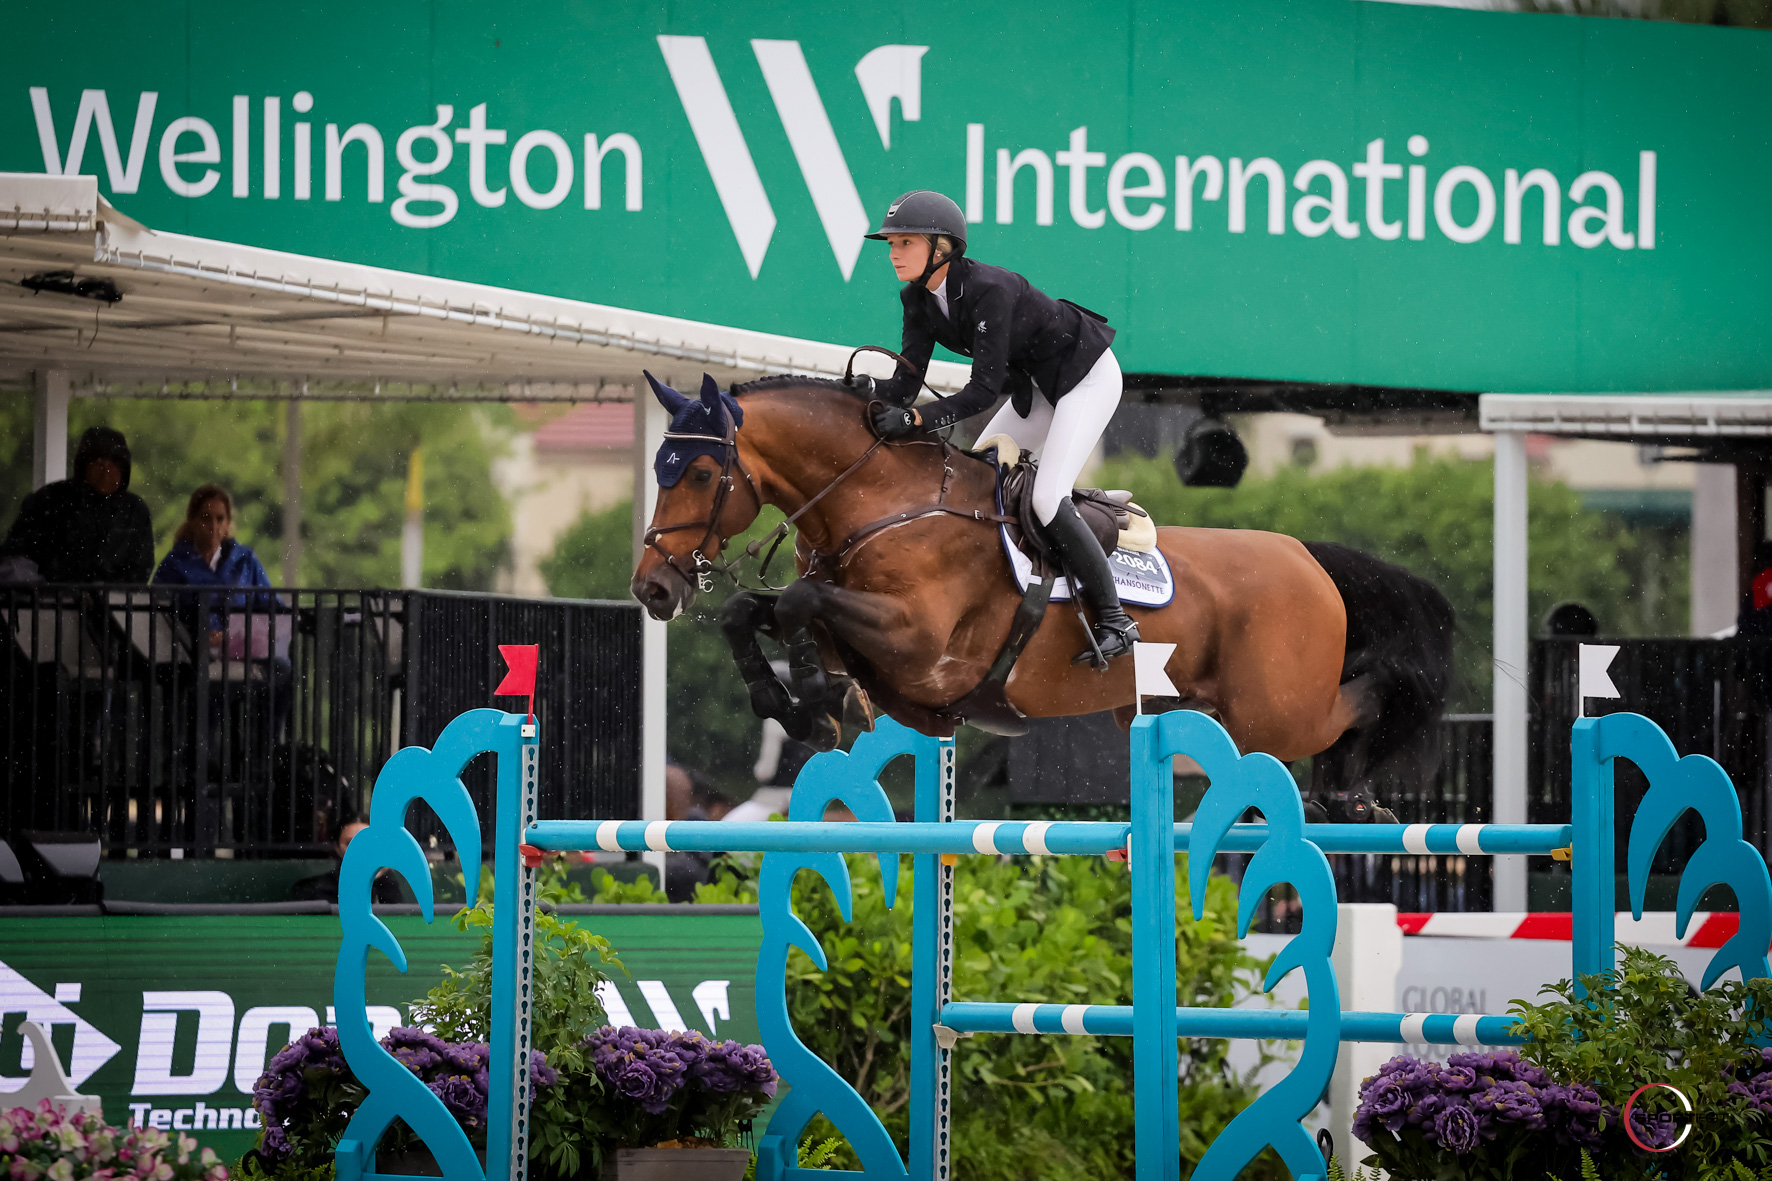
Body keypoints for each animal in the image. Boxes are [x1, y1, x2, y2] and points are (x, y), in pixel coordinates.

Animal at [627, 368, 1453, 790]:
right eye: (659, 468)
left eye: (697, 472)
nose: (651, 589)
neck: (880, 501)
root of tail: (1308, 557)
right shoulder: (866, 639)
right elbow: (749, 609)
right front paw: (788, 701)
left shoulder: (918, 642)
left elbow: (798, 600)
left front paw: (810, 698)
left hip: (1276, 713)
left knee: (1355, 706)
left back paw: (1351, 781)